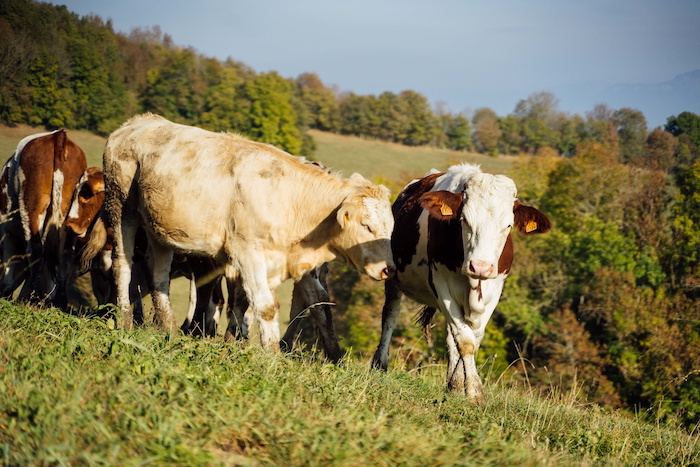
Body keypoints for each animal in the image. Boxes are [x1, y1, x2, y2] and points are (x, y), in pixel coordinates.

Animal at [0, 130, 87, 306]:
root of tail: (58, 135)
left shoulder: (7, 231)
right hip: (70, 213)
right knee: (65, 255)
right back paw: (59, 301)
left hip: (32, 204)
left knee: (36, 249)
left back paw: (30, 297)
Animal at [105, 112, 400, 348]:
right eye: (367, 225)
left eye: (390, 228)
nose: (389, 269)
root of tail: (142, 121)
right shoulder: (247, 253)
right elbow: (266, 307)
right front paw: (270, 356)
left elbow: (255, 303)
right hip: (121, 207)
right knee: (123, 264)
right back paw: (124, 320)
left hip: (160, 230)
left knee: (159, 276)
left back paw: (168, 329)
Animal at [370, 165, 548, 406]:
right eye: (464, 220)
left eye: (508, 225)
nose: (480, 267)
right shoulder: (442, 285)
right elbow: (465, 340)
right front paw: (474, 391)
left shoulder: (495, 288)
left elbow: (471, 338)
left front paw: (456, 384)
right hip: (393, 278)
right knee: (390, 317)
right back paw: (380, 364)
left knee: (449, 336)